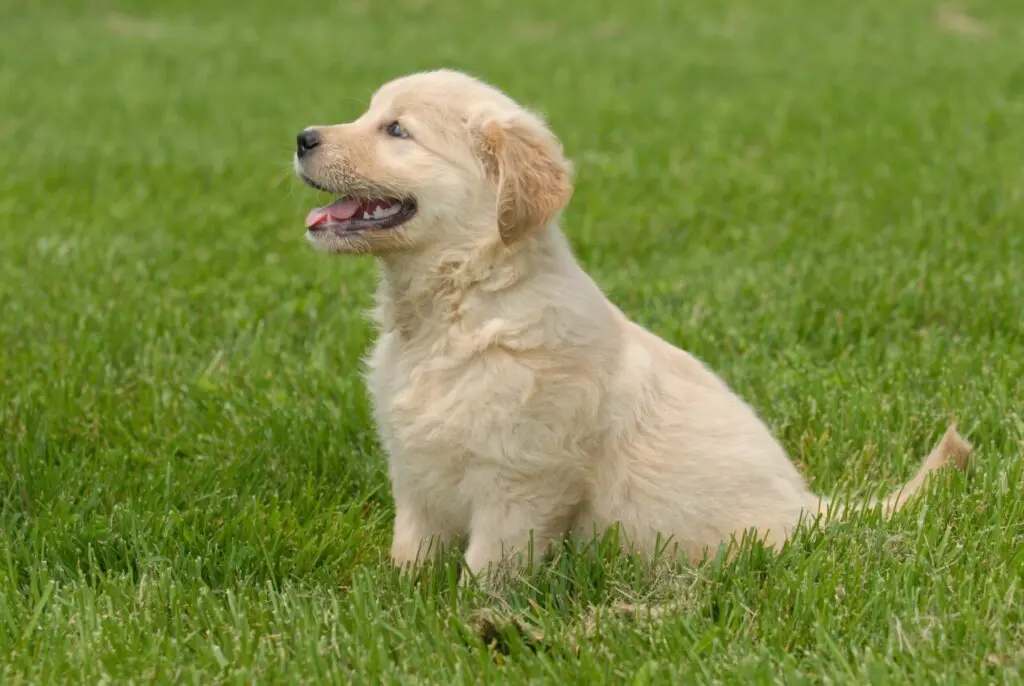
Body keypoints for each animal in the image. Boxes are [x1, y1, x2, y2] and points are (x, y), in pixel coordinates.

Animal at [292, 69, 970, 581]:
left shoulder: (522, 481)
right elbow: (410, 552)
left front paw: (463, 624)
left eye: (396, 129)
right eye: (370, 112)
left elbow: (486, 570)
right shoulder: (415, 473)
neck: (458, 304)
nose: (301, 136)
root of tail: (813, 510)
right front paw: (398, 598)